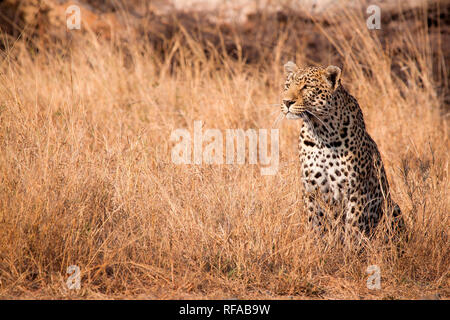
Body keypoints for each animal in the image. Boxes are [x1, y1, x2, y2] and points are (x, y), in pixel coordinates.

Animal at [282, 61, 404, 240]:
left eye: (306, 87)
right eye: (287, 85)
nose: (286, 102)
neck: (321, 133)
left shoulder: (357, 191)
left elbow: (353, 228)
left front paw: (350, 247)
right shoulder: (311, 190)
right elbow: (315, 226)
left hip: (392, 207)